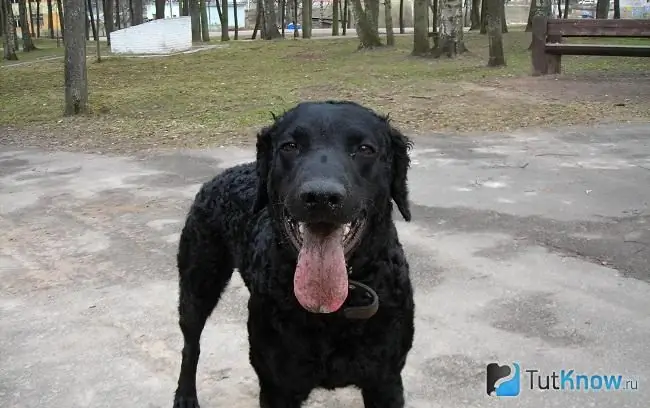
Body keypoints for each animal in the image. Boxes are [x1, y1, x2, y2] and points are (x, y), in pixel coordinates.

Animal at [173, 99, 416, 408]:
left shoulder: (385, 382)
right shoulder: (278, 387)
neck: (334, 309)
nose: (321, 196)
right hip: (198, 283)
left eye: (365, 149)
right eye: (290, 146)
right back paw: (185, 395)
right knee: (190, 344)